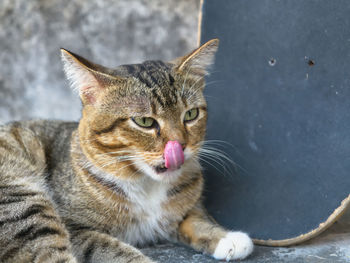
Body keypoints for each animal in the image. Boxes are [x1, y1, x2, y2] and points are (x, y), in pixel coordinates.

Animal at [0, 38, 253, 262]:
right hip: (21, 199)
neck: (148, 185)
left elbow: (194, 218)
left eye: (191, 114)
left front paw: (226, 238)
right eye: (144, 121)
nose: (180, 145)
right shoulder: (75, 228)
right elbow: (111, 249)